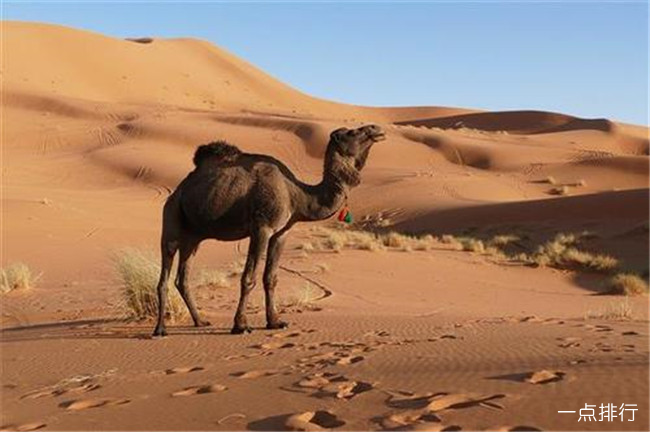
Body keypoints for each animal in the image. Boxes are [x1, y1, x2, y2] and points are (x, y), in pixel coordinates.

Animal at [152, 123, 384, 336]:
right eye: (353, 132)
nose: (376, 129)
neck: (297, 195)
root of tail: (177, 192)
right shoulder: (261, 228)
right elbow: (249, 278)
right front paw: (241, 326)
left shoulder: (281, 233)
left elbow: (270, 278)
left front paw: (275, 322)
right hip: (171, 219)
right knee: (164, 273)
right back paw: (160, 329)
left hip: (193, 238)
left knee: (182, 278)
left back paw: (200, 321)